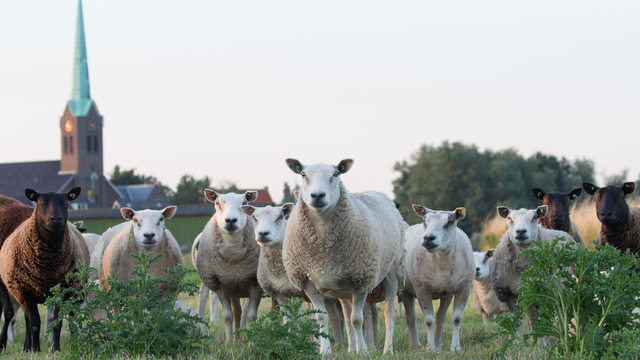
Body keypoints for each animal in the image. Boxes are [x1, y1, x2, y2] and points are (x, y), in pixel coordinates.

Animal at [0, 188, 90, 352]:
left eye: (66, 201)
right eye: (40, 201)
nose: (56, 219)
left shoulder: (63, 290)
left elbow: (56, 322)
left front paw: (54, 348)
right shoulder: (19, 287)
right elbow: (26, 319)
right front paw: (33, 349)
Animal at [196, 190, 264, 342]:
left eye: (244, 203)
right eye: (217, 203)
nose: (231, 220)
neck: (233, 253)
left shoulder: (255, 283)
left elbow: (251, 316)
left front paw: (252, 343)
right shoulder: (220, 284)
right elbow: (228, 316)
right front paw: (228, 342)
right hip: (234, 287)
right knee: (237, 311)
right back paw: (237, 339)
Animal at [282, 158, 402, 354]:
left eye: (336, 174)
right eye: (303, 174)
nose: (317, 196)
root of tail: (375, 192)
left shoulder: (361, 280)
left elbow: (357, 319)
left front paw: (363, 352)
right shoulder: (308, 282)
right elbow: (322, 318)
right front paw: (325, 351)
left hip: (392, 273)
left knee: (388, 314)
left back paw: (387, 349)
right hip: (342, 289)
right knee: (346, 315)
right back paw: (351, 349)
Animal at [400, 205, 476, 352]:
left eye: (450, 221)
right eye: (424, 221)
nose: (428, 238)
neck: (442, 263)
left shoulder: (464, 288)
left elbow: (456, 318)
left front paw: (455, 348)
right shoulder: (422, 288)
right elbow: (429, 320)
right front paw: (430, 349)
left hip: (446, 294)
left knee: (440, 317)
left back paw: (438, 346)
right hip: (405, 290)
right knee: (411, 317)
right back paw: (415, 346)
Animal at [490, 204, 576, 334]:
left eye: (534, 217)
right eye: (509, 218)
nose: (521, 231)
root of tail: (563, 232)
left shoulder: (538, 295)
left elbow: (537, 326)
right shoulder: (509, 295)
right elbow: (516, 324)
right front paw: (517, 340)